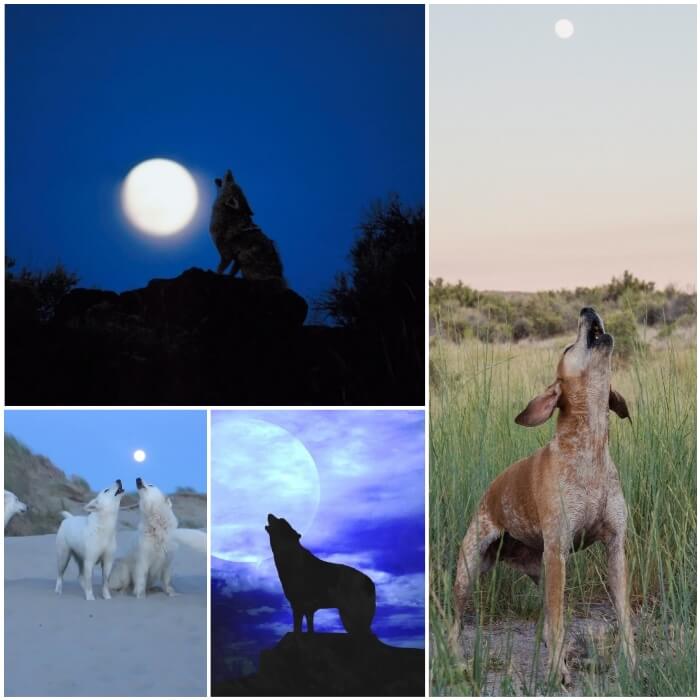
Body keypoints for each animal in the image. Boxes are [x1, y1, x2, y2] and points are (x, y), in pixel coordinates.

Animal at [452, 306, 636, 684]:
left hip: (540, 573)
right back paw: (457, 662)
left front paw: (631, 664)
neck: (590, 449)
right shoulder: (557, 552)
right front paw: (555, 673)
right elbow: (559, 620)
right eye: (567, 348)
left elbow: (623, 616)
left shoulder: (615, 548)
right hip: (468, 570)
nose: (587, 309)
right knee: (453, 626)